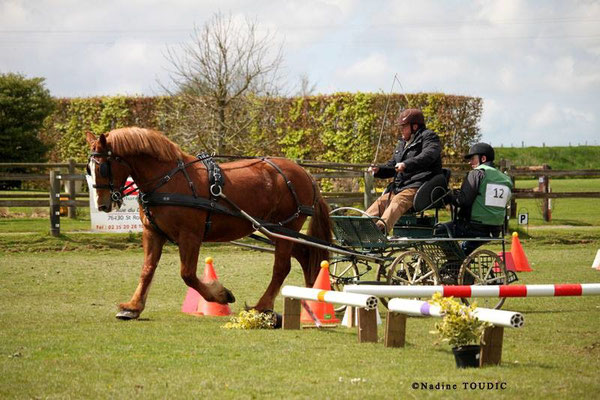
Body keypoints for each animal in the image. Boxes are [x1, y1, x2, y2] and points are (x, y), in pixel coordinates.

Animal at [87, 126, 332, 320]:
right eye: (89, 169)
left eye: (102, 167)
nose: (102, 204)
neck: (169, 179)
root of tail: (305, 174)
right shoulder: (152, 232)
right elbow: (147, 270)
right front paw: (133, 307)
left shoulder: (190, 235)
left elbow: (187, 274)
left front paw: (220, 294)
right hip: (275, 230)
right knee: (306, 255)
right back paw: (312, 295)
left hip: (286, 227)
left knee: (282, 267)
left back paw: (263, 306)